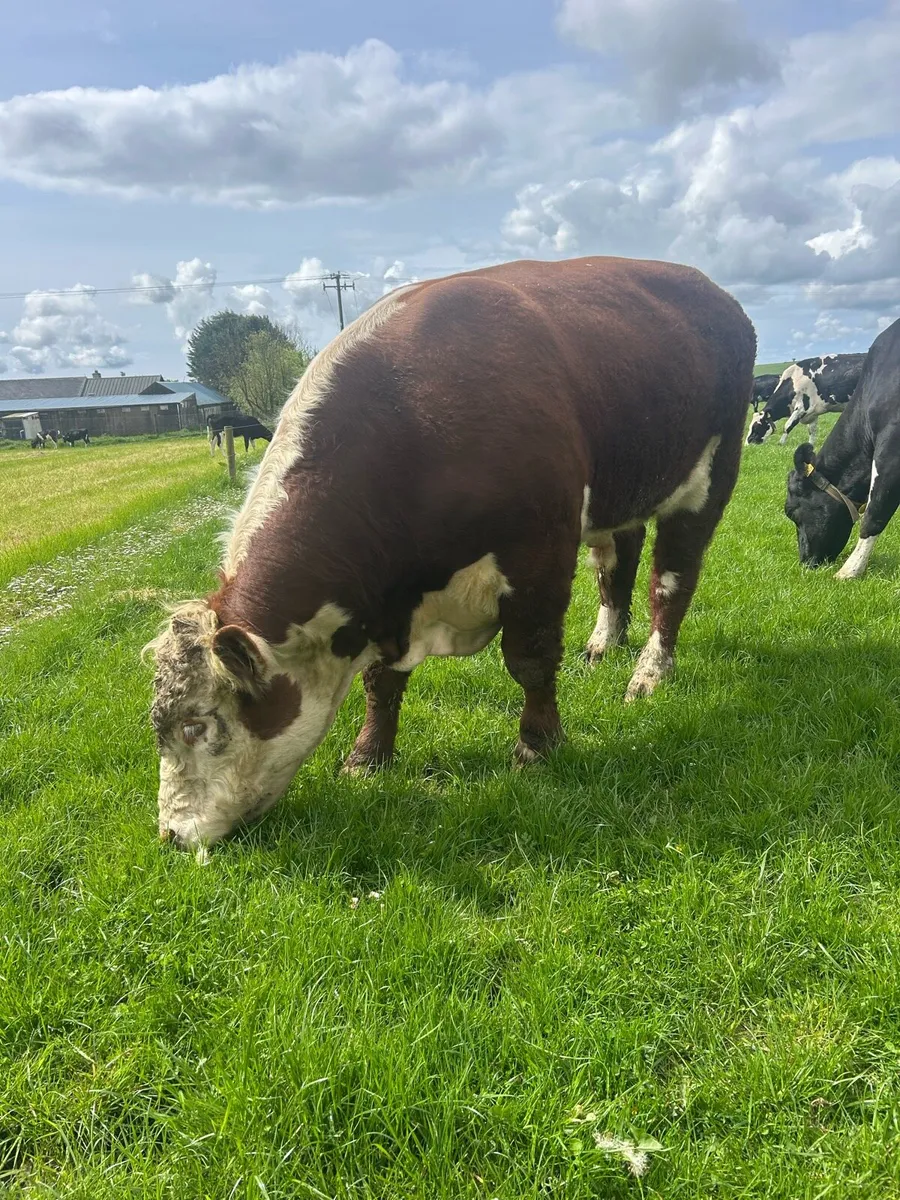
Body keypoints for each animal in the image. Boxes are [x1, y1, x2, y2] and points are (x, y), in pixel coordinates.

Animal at [144, 255, 756, 850]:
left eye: (198, 725)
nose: (172, 835)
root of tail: (714, 293)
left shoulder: (540, 554)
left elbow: (531, 660)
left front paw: (537, 746)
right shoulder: (387, 602)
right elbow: (381, 683)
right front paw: (367, 758)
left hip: (709, 477)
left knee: (671, 582)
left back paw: (650, 673)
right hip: (619, 494)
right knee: (617, 567)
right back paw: (605, 642)